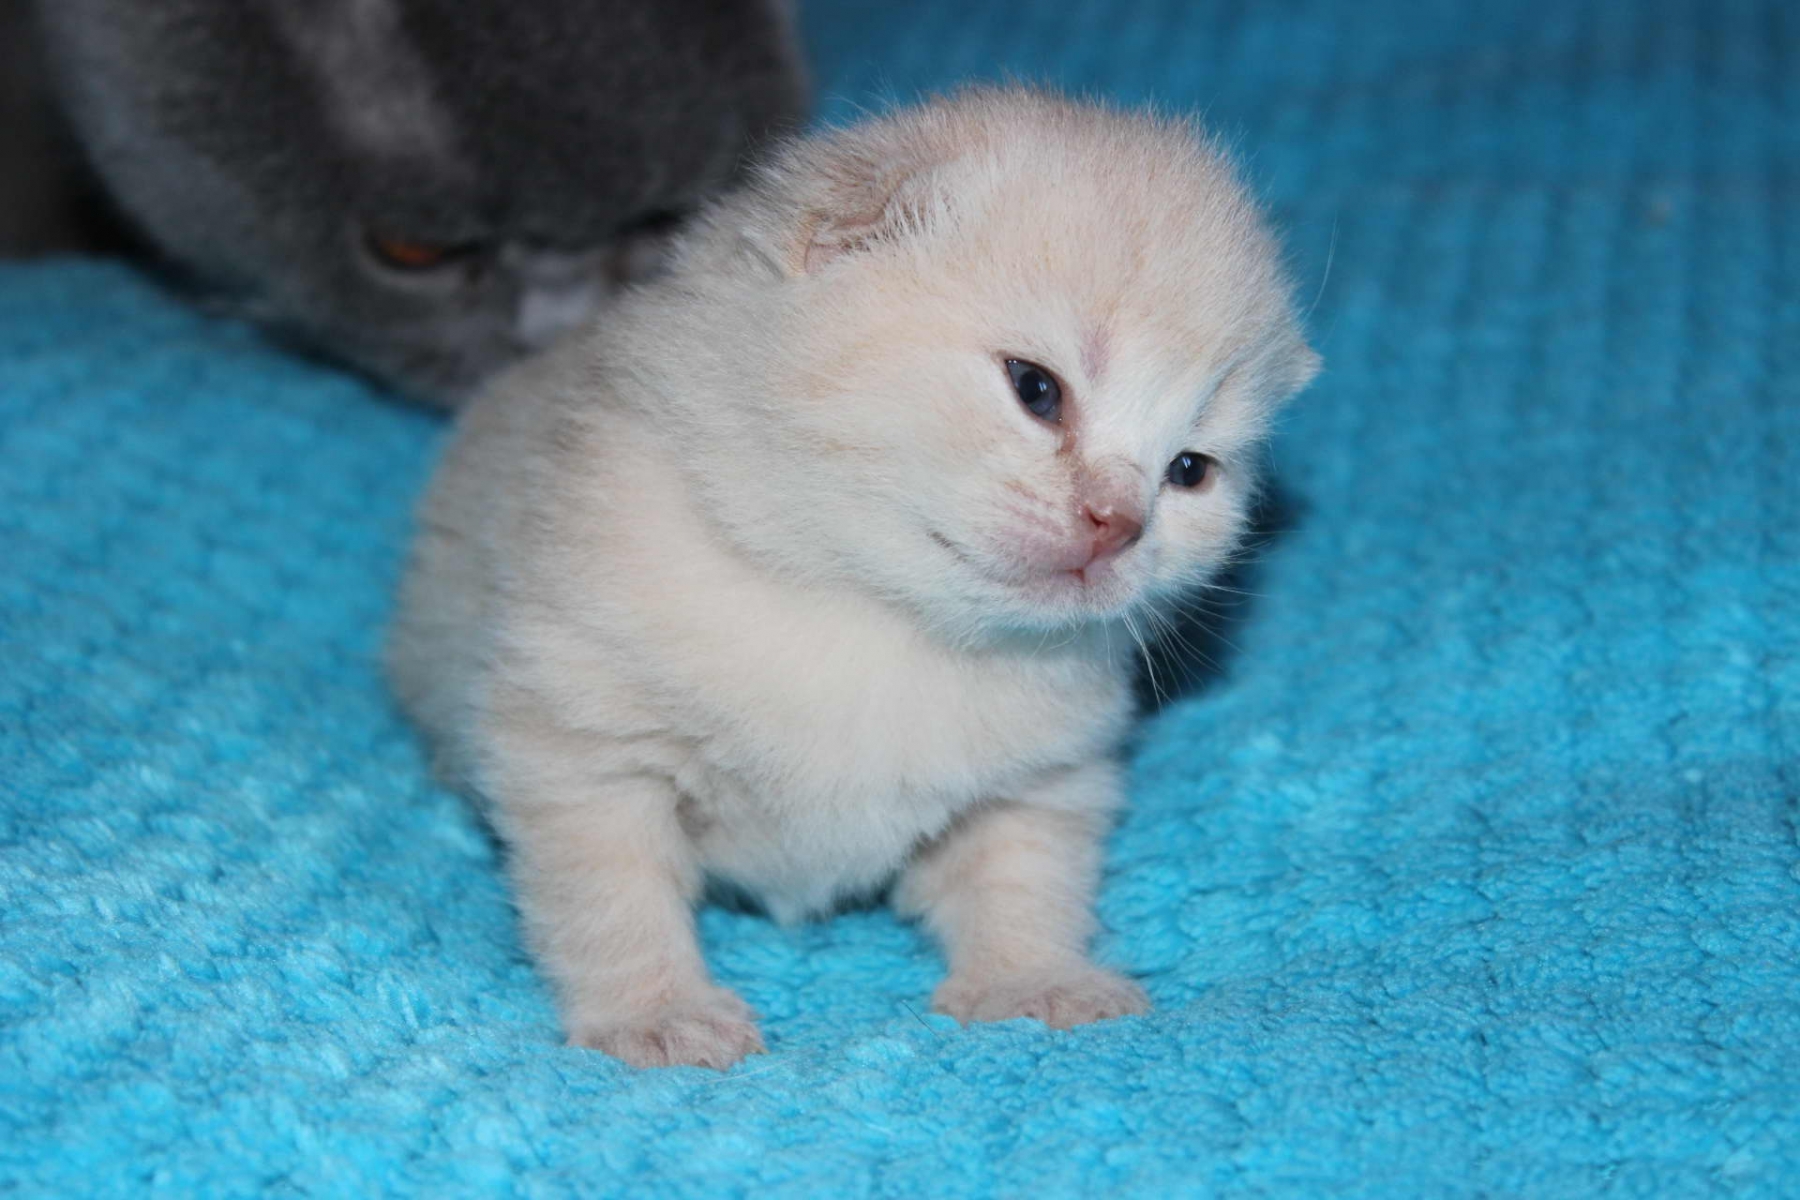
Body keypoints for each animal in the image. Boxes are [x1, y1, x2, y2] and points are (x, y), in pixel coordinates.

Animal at [386, 87, 1321, 1069]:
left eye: (1189, 470)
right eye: (1035, 388)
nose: (1121, 525)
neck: (881, 614)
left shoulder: (1038, 777)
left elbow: (1026, 876)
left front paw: (1033, 981)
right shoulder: (585, 741)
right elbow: (613, 898)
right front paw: (657, 1013)